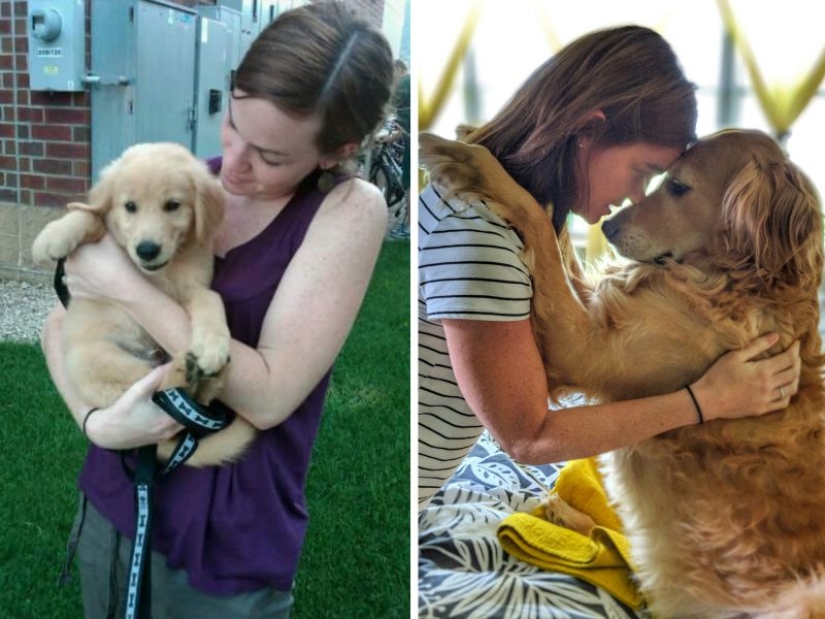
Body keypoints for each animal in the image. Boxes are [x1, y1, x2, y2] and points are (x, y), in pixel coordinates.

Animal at [33, 144, 254, 464]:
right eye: (130, 206)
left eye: (173, 205)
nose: (147, 250)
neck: (161, 271)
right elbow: (89, 217)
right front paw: (52, 236)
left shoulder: (193, 288)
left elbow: (211, 299)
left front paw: (212, 346)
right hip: (93, 359)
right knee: (155, 388)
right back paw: (187, 373)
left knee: (180, 397)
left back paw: (200, 373)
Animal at [418, 128, 824, 616]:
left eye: (678, 187)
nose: (608, 227)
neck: (739, 281)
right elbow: (558, 244)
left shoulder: (587, 351)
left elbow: (538, 227)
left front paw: (474, 165)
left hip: (803, 597)